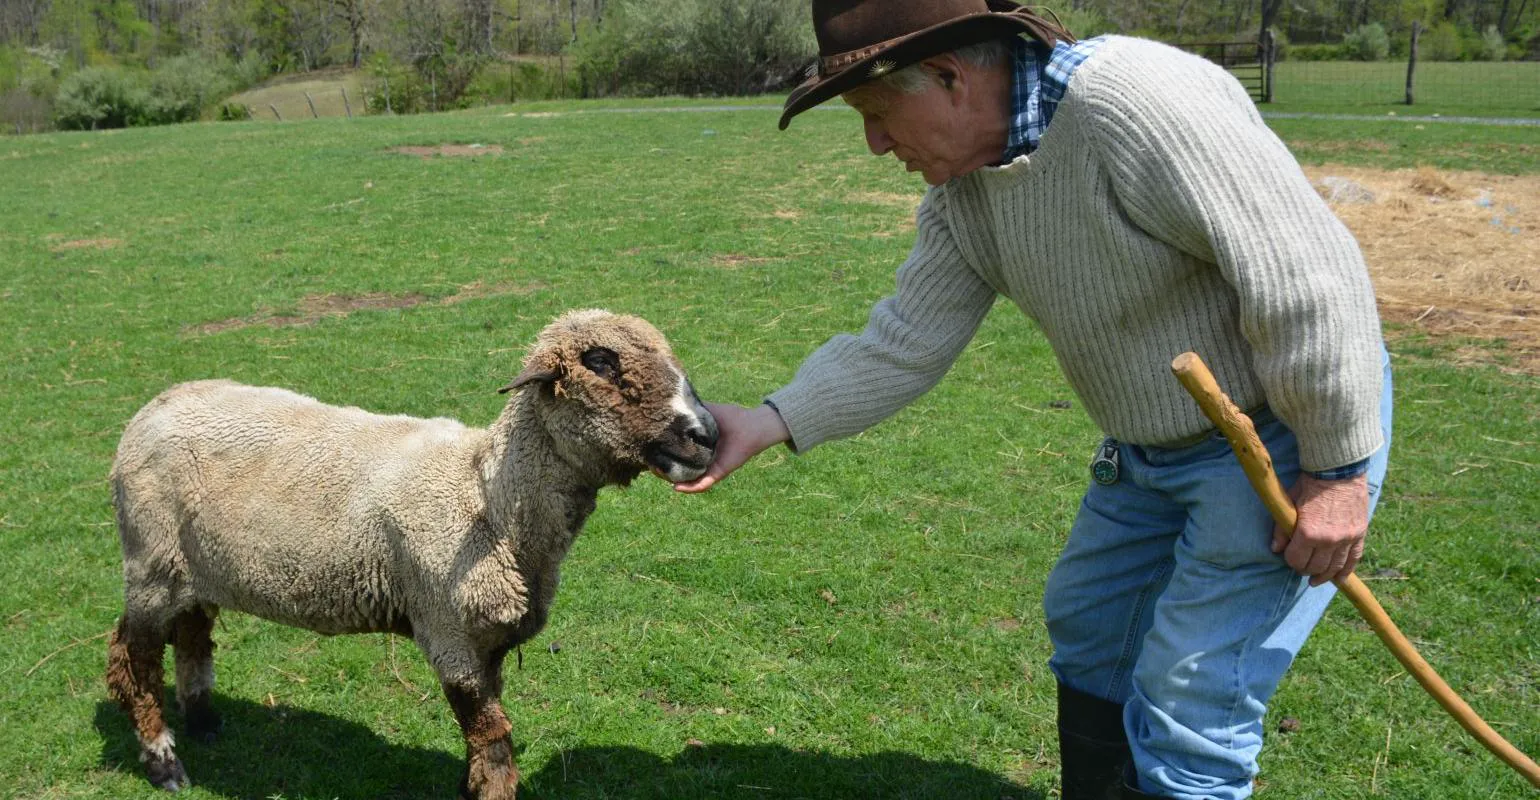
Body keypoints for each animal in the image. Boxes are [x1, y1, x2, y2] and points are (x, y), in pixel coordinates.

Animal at [104, 309, 718, 799]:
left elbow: (483, 734)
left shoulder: (487, 641)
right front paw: (490, 788)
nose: (707, 434)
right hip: (151, 560)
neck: (487, 499)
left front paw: (469, 784)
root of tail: (152, 408)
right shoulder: (447, 631)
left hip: (198, 569)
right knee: (135, 657)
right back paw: (164, 763)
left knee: (192, 635)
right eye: (601, 363)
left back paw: (205, 721)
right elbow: (493, 737)